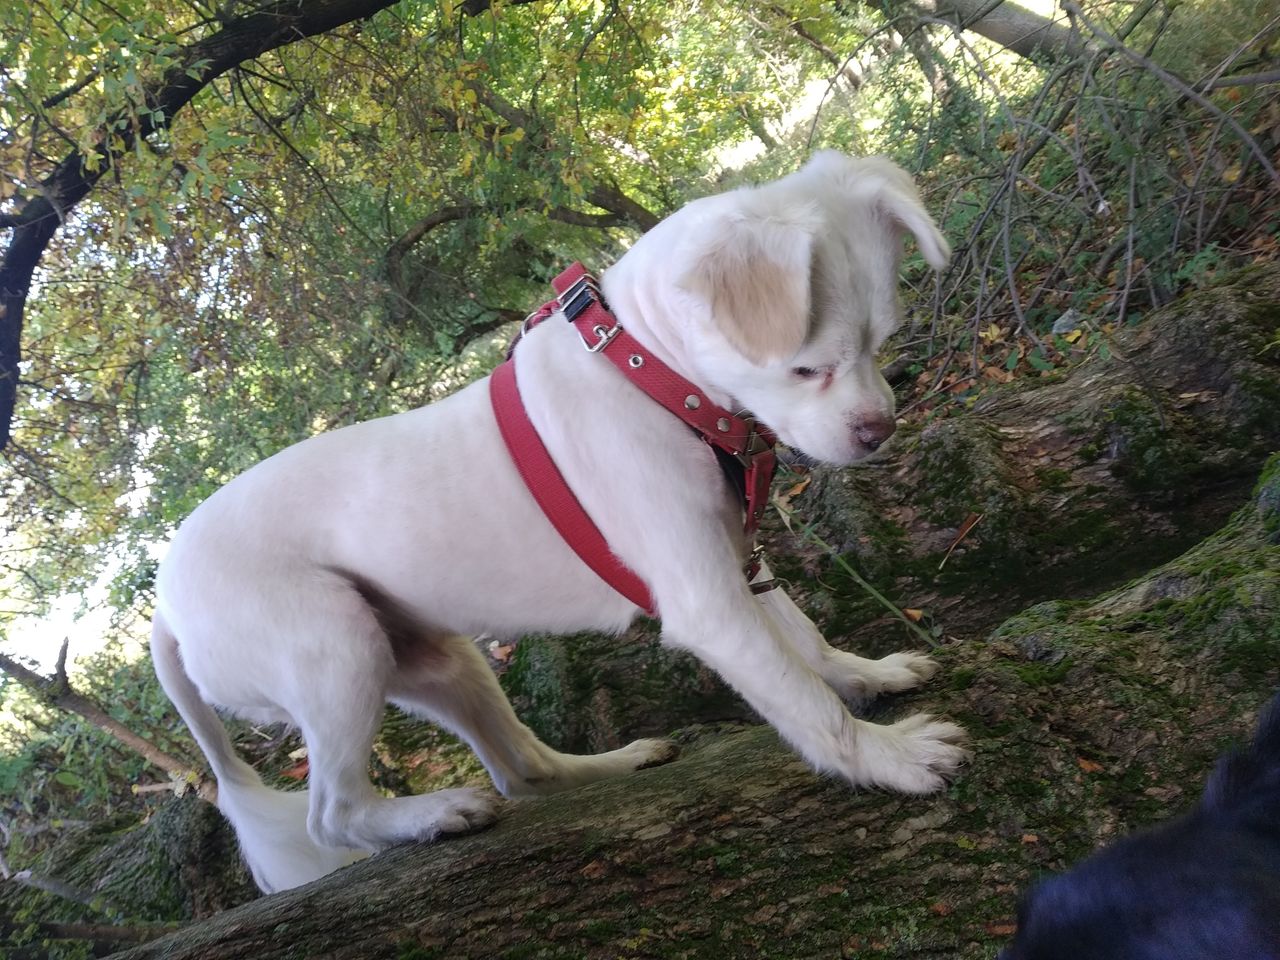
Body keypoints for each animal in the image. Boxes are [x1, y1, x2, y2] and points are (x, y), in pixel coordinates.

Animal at [151, 151, 965, 893]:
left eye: (882, 340)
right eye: (807, 368)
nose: (879, 431)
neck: (648, 372)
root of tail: (164, 606)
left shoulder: (738, 557)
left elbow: (808, 641)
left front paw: (869, 674)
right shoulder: (709, 602)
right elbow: (804, 699)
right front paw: (886, 757)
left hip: (437, 658)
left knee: (525, 770)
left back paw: (614, 762)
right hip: (339, 653)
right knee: (333, 815)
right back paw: (431, 814)